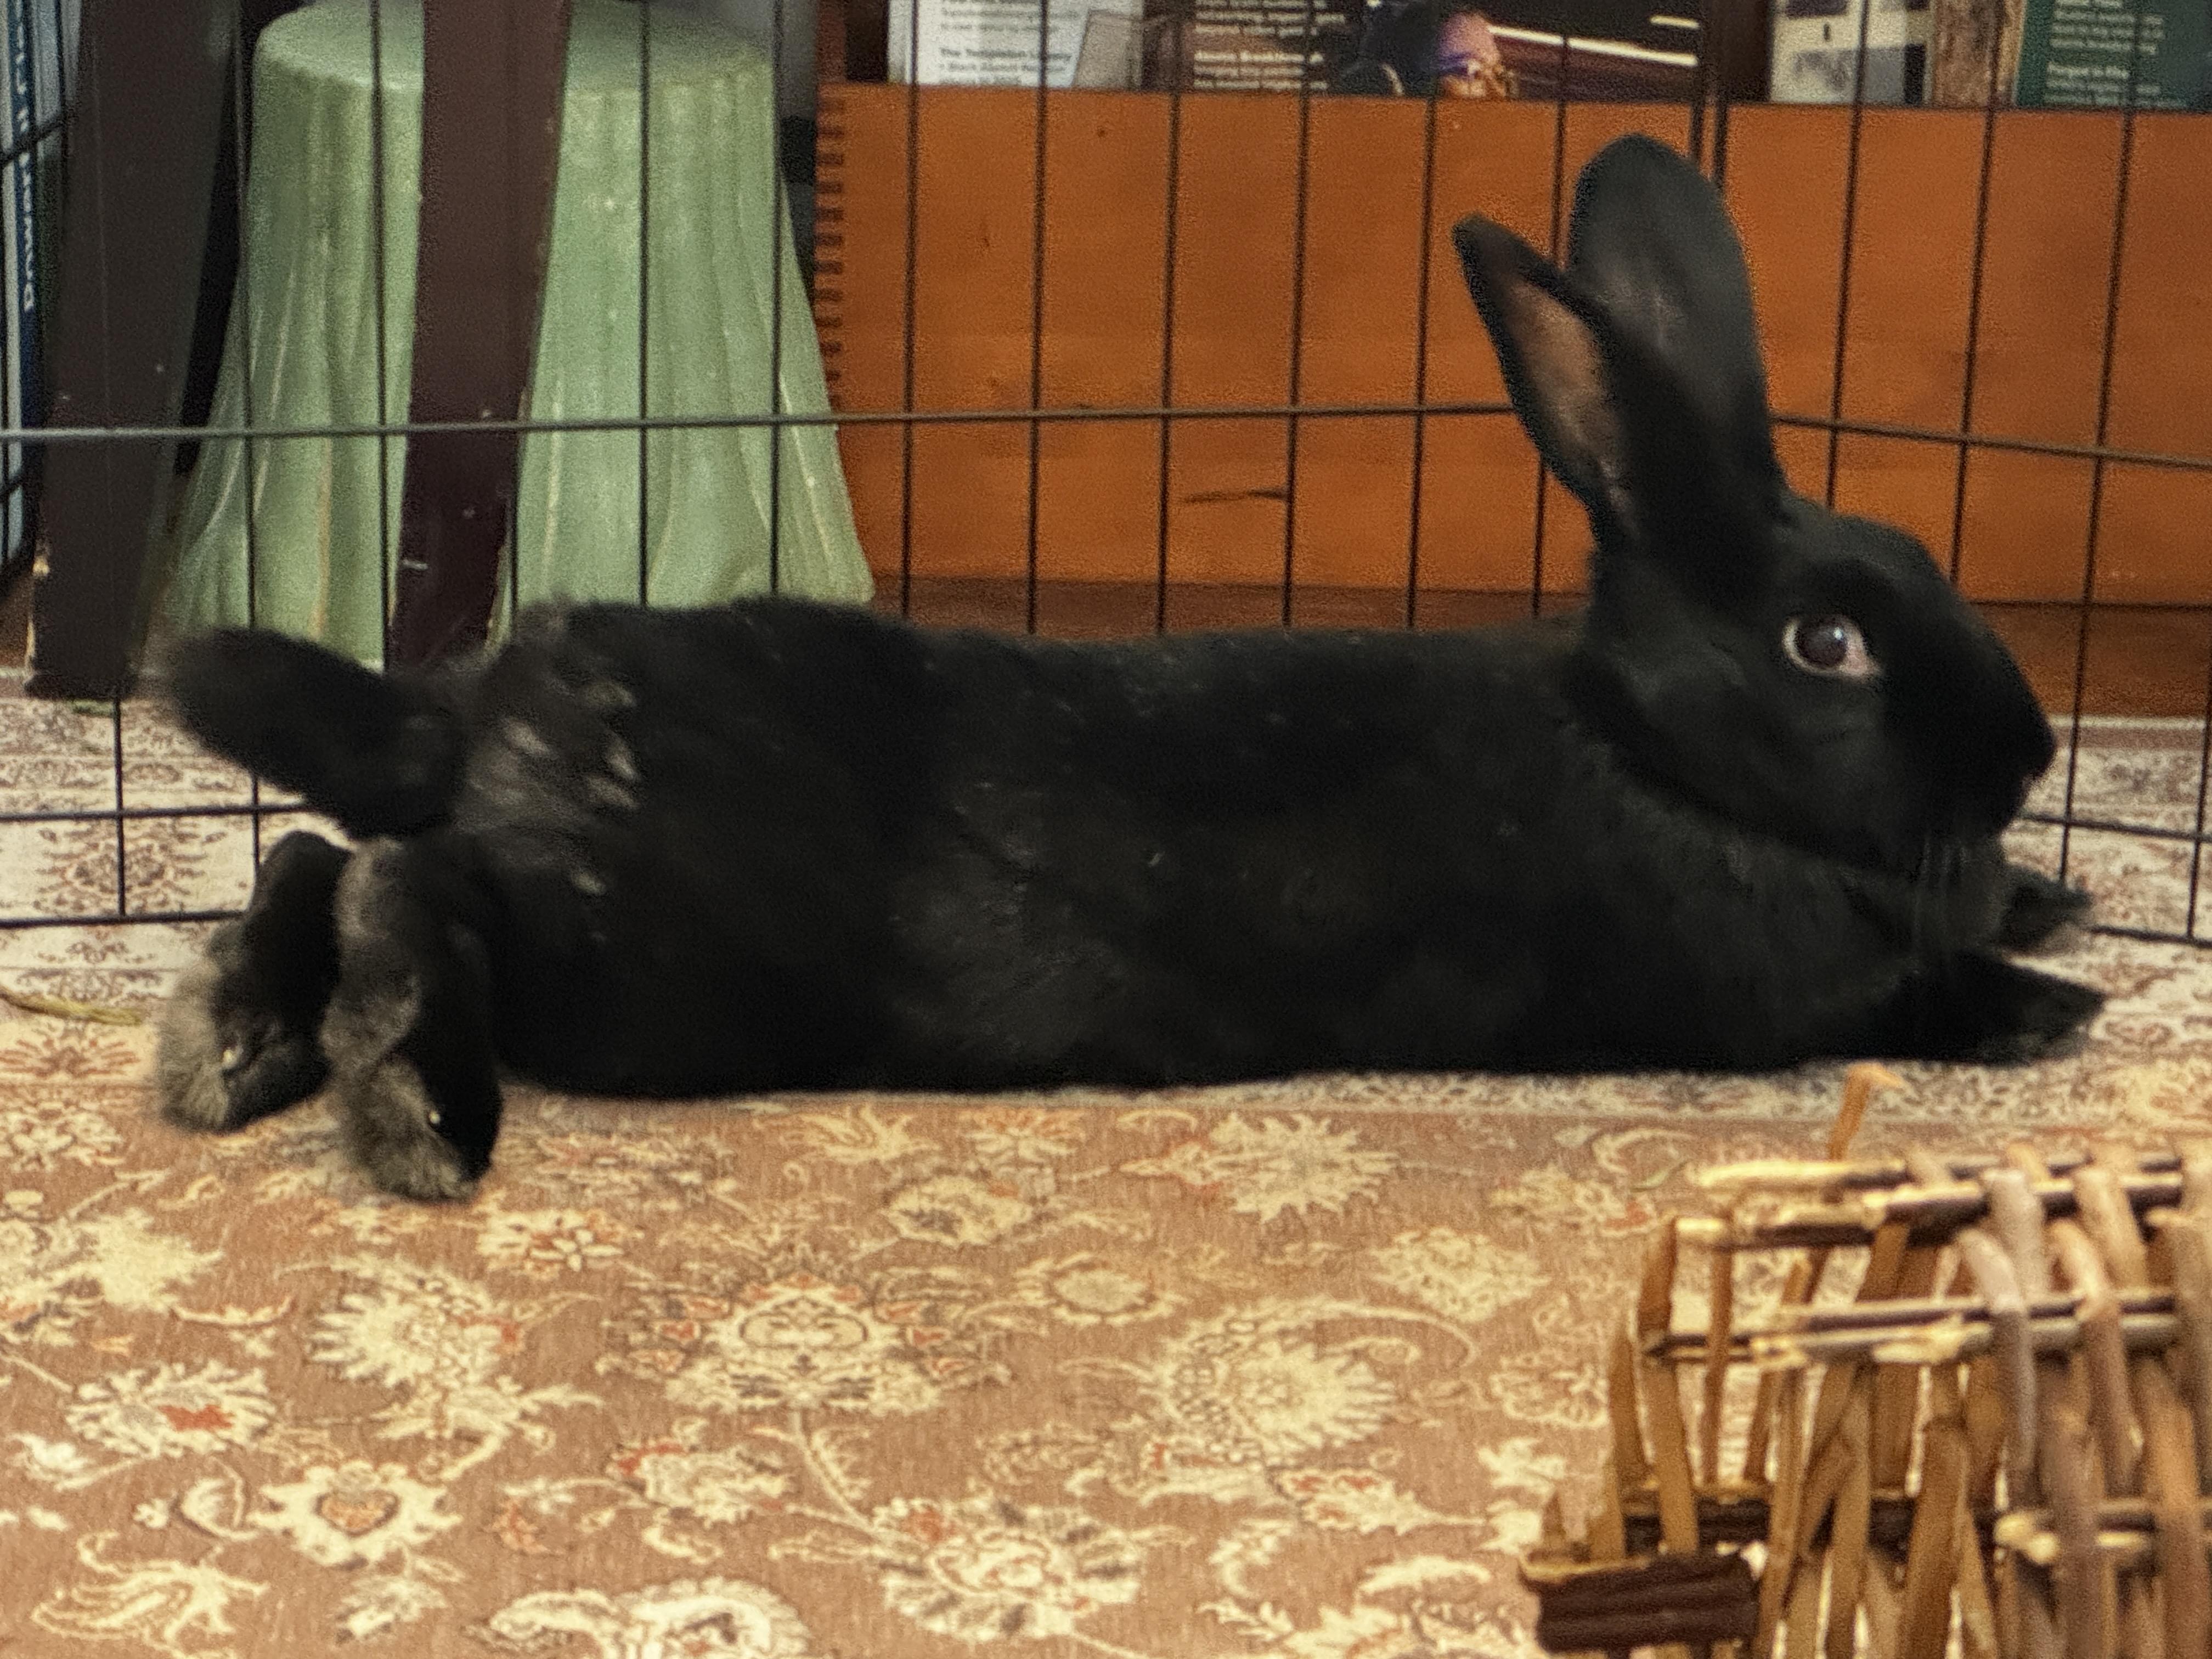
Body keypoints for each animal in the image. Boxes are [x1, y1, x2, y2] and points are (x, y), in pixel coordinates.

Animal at [152, 132, 2103, 1202]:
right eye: (1827, 645)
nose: (2026, 754)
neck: (1655, 755)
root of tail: (497, 703)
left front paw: (2062, 900)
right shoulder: (1755, 1001)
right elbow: (1914, 1002)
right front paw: (2054, 1004)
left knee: (314, 852)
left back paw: (231, 1044)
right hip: (656, 968)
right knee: (401, 882)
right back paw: (414, 1100)